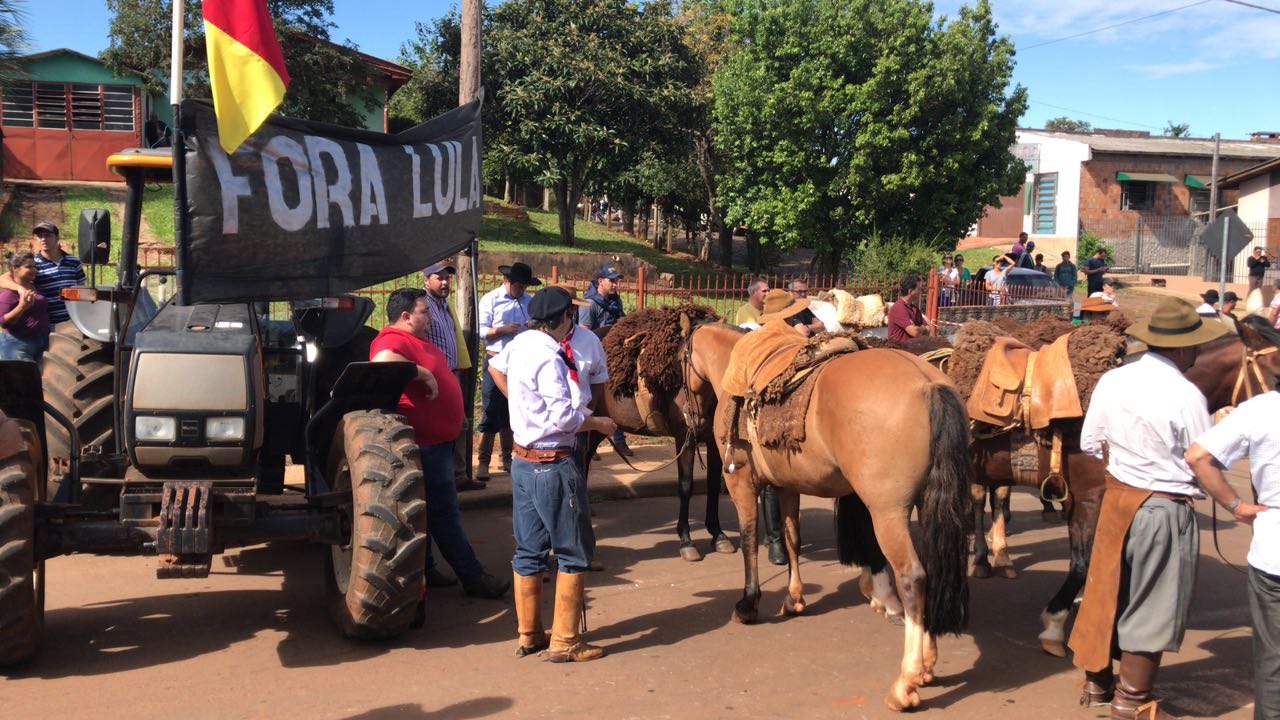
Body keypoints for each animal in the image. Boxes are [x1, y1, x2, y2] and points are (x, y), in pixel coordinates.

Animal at [691, 320, 967, 712]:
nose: (693, 418)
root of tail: (927, 384)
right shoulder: (787, 485)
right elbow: (791, 538)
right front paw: (794, 598)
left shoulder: (740, 480)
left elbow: (748, 539)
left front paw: (748, 604)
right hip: (926, 504)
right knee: (932, 570)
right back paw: (927, 662)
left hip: (887, 512)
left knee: (912, 577)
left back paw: (905, 683)